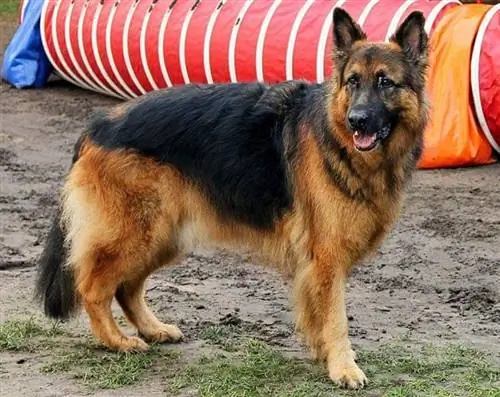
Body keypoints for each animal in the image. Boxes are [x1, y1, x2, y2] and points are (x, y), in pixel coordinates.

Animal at [37, 8, 430, 386]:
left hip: (163, 237)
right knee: (92, 287)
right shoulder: (326, 260)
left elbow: (317, 316)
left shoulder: (315, 266)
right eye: (353, 81)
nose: (356, 121)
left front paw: (323, 355)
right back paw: (117, 341)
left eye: (385, 82)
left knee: (126, 288)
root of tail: (99, 122)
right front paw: (343, 368)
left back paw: (152, 329)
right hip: (136, 235)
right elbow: (336, 320)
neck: (338, 141)